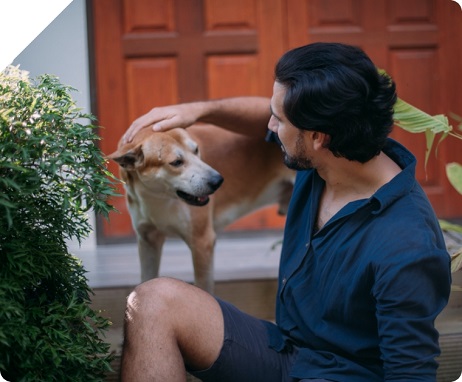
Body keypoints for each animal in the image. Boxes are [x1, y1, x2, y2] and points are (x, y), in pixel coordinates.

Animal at [109, 124, 292, 290]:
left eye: (196, 150)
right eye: (176, 162)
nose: (218, 181)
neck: (158, 199)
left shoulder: (202, 243)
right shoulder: (148, 241)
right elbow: (146, 280)